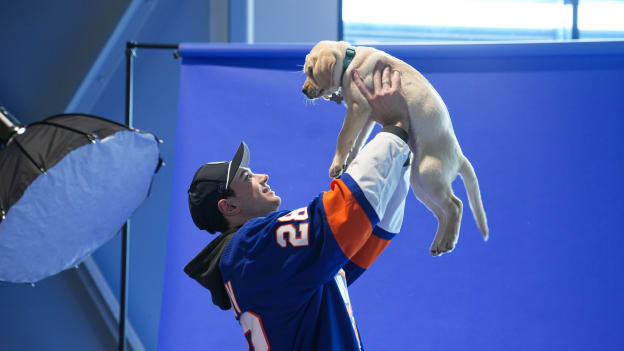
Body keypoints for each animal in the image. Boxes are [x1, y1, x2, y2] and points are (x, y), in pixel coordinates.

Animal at [302, 40, 488, 256]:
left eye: (311, 71)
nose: (303, 91)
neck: (350, 60)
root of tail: (459, 156)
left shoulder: (358, 108)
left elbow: (344, 137)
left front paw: (337, 164)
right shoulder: (367, 115)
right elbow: (358, 141)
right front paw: (349, 161)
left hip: (426, 176)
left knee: (455, 205)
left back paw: (448, 241)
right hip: (423, 185)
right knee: (443, 212)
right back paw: (439, 243)